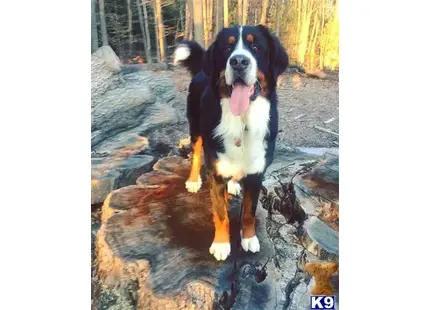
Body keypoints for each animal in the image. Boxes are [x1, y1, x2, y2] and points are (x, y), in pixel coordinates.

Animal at [174, 25, 288, 260]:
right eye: (227, 48)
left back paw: (234, 184)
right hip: (196, 128)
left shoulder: (256, 174)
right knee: (196, 155)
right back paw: (193, 181)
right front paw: (220, 244)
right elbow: (221, 214)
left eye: (256, 47)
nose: (238, 61)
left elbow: (249, 213)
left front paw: (249, 238)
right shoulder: (216, 175)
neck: (242, 122)